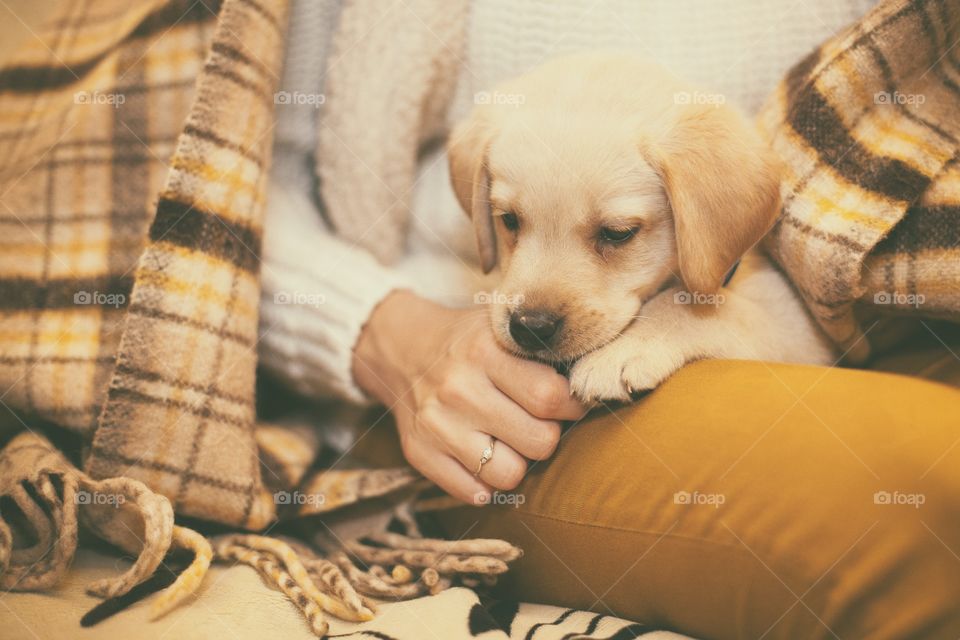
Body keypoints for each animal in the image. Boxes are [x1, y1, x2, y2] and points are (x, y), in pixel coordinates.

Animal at [448, 52, 832, 400]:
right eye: (509, 220)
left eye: (617, 233)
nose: (531, 328)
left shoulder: (798, 329)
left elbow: (696, 305)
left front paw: (622, 351)